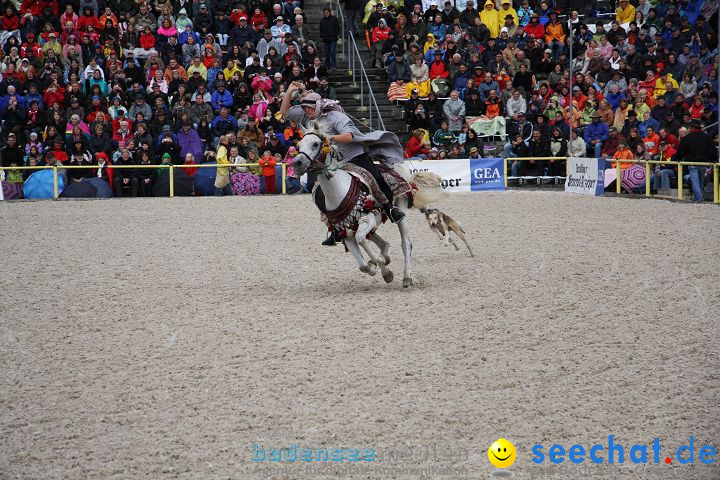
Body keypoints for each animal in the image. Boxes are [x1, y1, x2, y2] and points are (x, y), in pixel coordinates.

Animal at [294, 124, 444, 288]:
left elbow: (362, 241)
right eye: (299, 145)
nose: (297, 163)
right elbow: (363, 265)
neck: (339, 191)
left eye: (315, 144)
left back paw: (407, 277)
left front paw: (385, 270)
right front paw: (378, 267)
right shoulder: (344, 232)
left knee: (406, 244)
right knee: (383, 243)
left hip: (400, 211)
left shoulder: (369, 219)